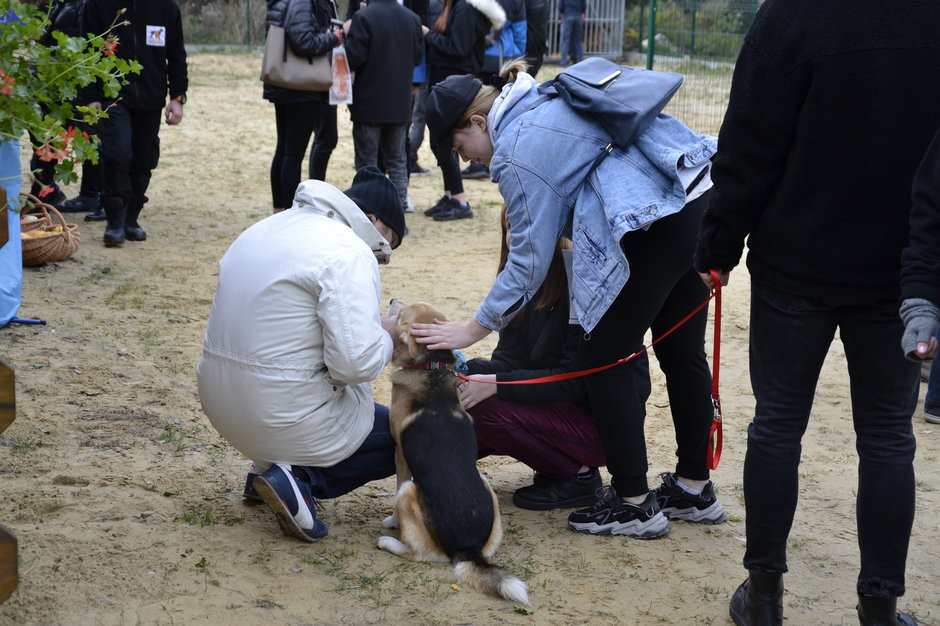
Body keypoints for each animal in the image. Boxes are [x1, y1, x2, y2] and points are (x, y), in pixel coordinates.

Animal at [378, 300, 532, 604]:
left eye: (401, 316)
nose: (391, 301)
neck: (431, 367)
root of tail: (467, 548)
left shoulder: (400, 455)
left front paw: (391, 521)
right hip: (486, 489)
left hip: (410, 493)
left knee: (417, 554)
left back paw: (388, 541)